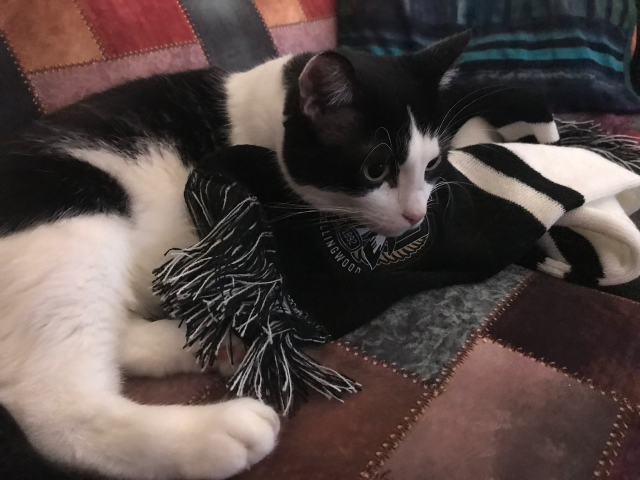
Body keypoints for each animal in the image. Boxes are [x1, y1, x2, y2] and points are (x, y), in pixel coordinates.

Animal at [0, 31, 470, 478]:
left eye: (432, 166)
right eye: (376, 169)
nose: (415, 216)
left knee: (114, 335)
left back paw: (214, 341)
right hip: (76, 212)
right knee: (52, 403)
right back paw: (214, 432)